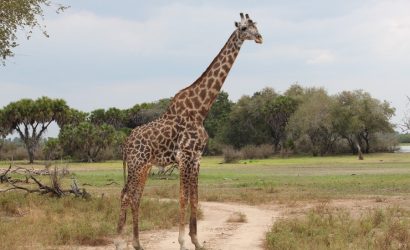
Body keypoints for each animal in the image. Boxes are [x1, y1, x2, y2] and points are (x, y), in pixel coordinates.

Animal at [116, 13, 262, 250]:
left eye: (255, 25)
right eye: (243, 28)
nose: (259, 37)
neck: (200, 110)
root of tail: (126, 142)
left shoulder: (197, 158)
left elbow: (195, 197)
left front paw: (197, 241)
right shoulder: (184, 156)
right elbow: (183, 197)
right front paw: (183, 241)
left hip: (144, 166)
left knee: (135, 196)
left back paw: (137, 243)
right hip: (137, 164)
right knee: (126, 195)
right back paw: (119, 242)